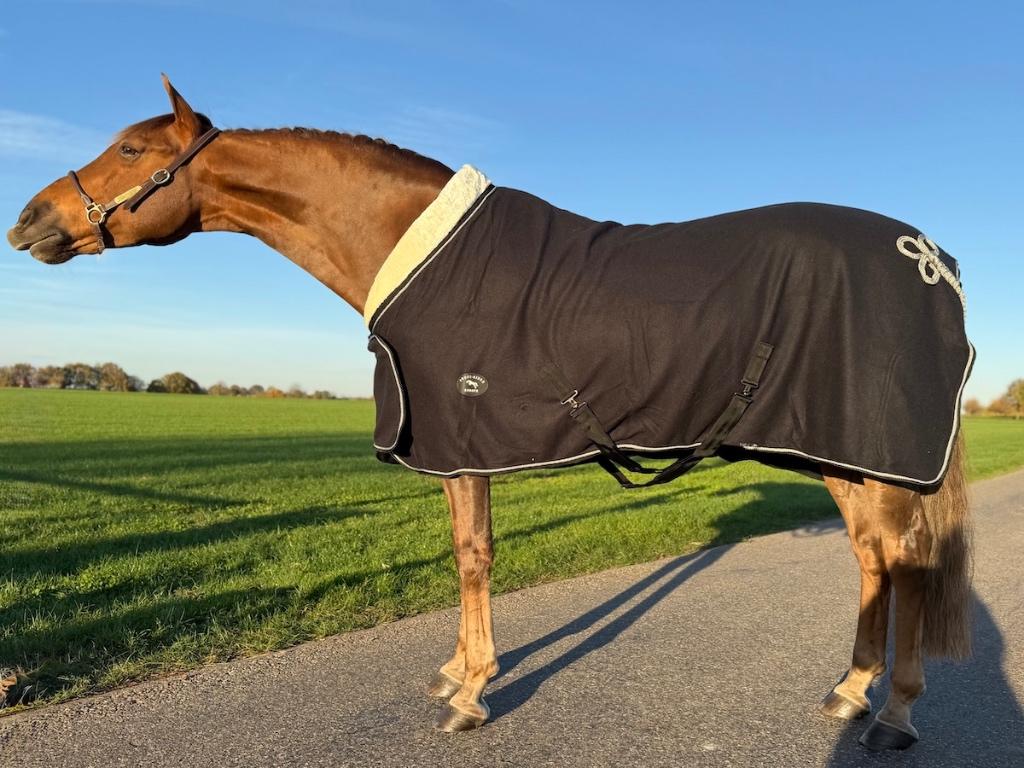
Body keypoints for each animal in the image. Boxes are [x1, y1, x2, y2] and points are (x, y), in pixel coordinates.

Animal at [7, 76, 973, 752]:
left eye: (131, 148)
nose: (27, 220)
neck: (416, 249)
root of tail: (932, 256)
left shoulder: (464, 445)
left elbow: (474, 557)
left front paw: (471, 692)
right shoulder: (448, 450)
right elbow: (460, 554)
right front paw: (455, 673)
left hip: (873, 455)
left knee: (906, 561)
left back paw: (895, 715)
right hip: (840, 452)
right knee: (872, 559)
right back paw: (848, 691)